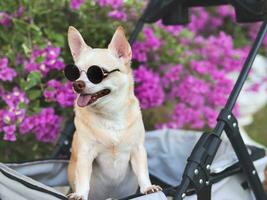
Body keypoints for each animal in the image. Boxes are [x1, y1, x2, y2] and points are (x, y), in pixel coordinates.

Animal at [67, 27, 162, 200]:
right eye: (75, 73)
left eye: (97, 73)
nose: (77, 84)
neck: (109, 115)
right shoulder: (85, 154)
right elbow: (83, 178)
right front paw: (80, 194)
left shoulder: (138, 150)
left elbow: (143, 172)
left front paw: (148, 187)